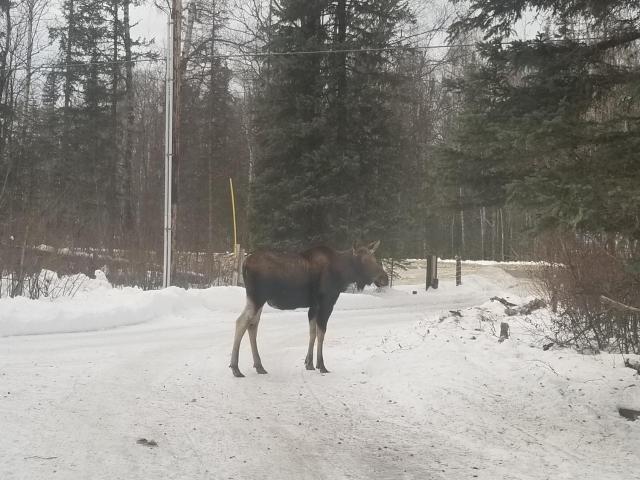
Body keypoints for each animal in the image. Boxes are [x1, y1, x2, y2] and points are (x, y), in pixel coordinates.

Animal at [230, 242, 390, 376]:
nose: (385, 278)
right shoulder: (326, 303)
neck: (342, 274)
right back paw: (236, 368)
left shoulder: (313, 306)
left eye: (375, 258)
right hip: (257, 297)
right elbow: (321, 332)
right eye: (365, 261)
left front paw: (309, 363)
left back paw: (259, 366)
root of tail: (244, 264)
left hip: (258, 300)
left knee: (253, 325)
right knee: (241, 321)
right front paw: (321, 365)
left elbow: (312, 332)